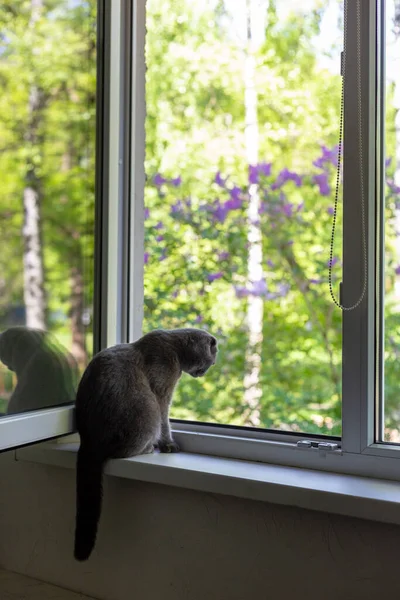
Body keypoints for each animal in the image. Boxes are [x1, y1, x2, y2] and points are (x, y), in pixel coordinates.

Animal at [73, 326, 217, 560]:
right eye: (211, 360)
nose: (206, 371)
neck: (175, 348)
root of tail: (88, 443)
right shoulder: (162, 392)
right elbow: (166, 420)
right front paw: (169, 445)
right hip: (147, 408)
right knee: (124, 450)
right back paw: (149, 448)